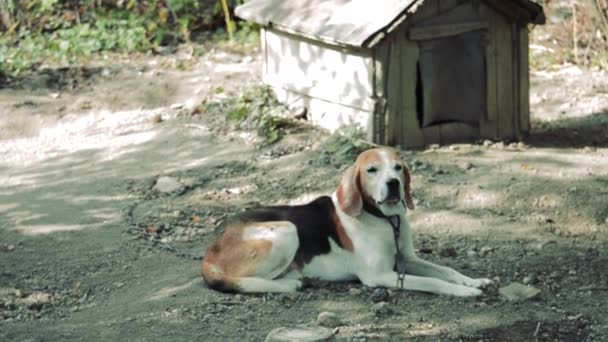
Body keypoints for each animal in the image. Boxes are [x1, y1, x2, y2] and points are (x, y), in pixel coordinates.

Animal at [202, 148, 492, 296]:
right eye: (371, 170)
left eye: (398, 167)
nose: (393, 184)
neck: (385, 220)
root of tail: (211, 249)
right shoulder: (380, 276)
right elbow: (432, 282)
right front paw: (463, 291)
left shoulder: (407, 259)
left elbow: (446, 271)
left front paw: (473, 281)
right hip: (287, 230)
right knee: (245, 280)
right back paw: (288, 284)